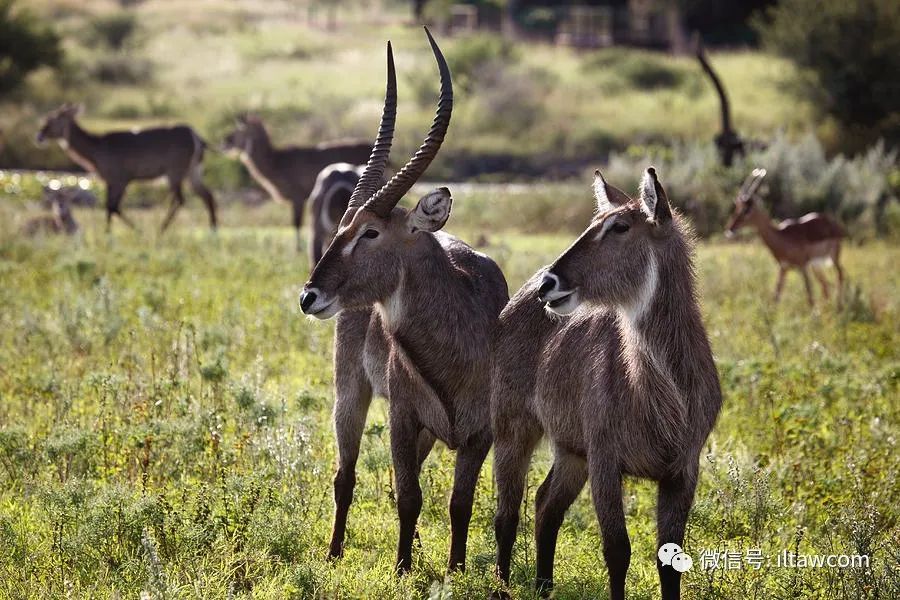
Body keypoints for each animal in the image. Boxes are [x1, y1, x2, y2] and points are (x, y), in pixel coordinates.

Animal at [35, 104, 220, 231]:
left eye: (53, 119)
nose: (39, 135)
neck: (96, 147)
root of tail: (196, 136)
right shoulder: (110, 182)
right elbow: (109, 207)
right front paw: (110, 233)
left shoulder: (121, 179)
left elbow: (113, 207)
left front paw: (132, 231)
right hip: (193, 172)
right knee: (208, 196)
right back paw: (213, 229)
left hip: (174, 173)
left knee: (181, 199)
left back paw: (160, 230)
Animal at [223, 113, 374, 247]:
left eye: (239, 130)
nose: (224, 142)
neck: (276, 162)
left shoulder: (298, 197)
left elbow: (296, 223)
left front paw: (297, 249)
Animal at [298, 30, 510, 576]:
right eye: (342, 226)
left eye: (370, 232)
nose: (310, 295)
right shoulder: (401, 417)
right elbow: (411, 495)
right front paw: (401, 571)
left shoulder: (479, 435)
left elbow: (458, 503)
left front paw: (454, 570)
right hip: (351, 394)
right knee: (347, 475)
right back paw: (334, 553)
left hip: (429, 431)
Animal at [492, 168, 724, 600]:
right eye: (592, 223)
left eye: (619, 226)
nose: (549, 283)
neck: (664, 397)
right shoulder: (605, 458)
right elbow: (617, 550)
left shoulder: (683, 471)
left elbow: (670, 558)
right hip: (513, 427)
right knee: (507, 513)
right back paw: (502, 588)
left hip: (571, 450)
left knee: (545, 504)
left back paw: (544, 587)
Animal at [724, 169, 844, 308]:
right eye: (737, 208)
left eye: (747, 209)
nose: (730, 229)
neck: (782, 237)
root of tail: (833, 223)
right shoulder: (784, 268)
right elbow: (776, 295)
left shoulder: (802, 267)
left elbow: (809, 296)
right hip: (816, 266)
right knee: (825, 286)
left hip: (833, 257)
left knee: (840, 274)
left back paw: (839, 306)